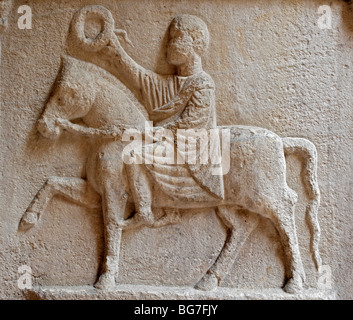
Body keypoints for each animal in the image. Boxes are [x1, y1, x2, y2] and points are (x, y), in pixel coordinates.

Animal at [20, 55, 322, 292]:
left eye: (65, 93)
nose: (44, 126)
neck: (116, 138)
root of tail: (280, 141)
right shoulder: (95, 191)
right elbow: (52, 183)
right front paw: (28, 219)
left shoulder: (114, 192)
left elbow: (111, 228)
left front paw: (105, 280)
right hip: (232, 202)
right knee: (242, 228)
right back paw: (208, 281)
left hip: (264, 195)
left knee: (285, 214)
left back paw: (295, 282)